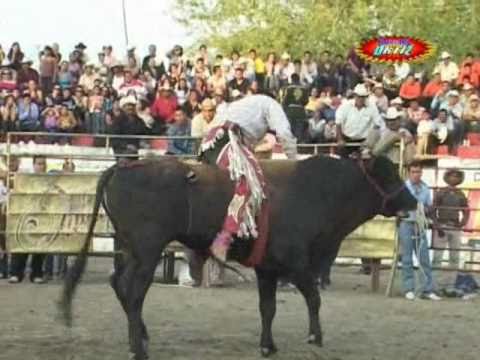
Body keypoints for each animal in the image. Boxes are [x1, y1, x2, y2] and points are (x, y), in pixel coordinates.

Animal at [59, 156, 416, 358]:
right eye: (390, 176)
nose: (412, 202)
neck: (317, 192)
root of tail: (124, 166)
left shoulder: (267, 269)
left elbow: (268, 308)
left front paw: (267, 345)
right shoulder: (296, 264)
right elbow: (313, 298)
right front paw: (315, 336)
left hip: (127, 247)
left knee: (118, 283)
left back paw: (142, 338)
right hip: (147, 251)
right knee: (133, 293)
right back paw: (138, 347)